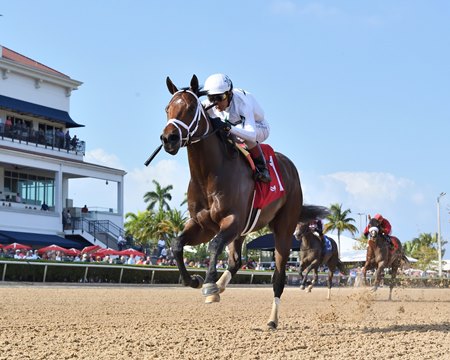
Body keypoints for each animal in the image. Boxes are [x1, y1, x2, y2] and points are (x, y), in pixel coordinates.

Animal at [157, 74, 312, 330]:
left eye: (190, 108)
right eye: (167, 108)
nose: (168, 138)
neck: (209, 174)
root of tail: (290, 167)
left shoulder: (232, 220)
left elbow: (213, 246)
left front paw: (209, 284)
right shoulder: (202, 224)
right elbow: (178, 245)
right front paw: (196, 281)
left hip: (283, 229)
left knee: (278, 277)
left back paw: (272, 320)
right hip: (242, 232)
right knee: (236, 261)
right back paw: (220, 286)